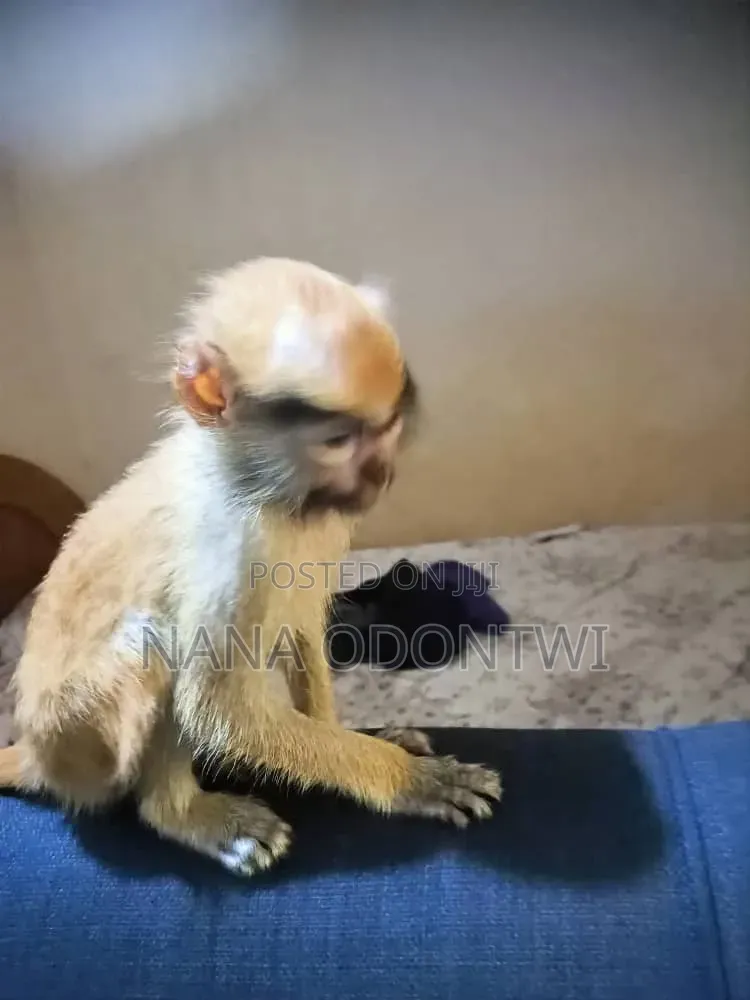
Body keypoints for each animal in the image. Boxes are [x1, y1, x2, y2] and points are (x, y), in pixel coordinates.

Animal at [0, 257, 501, 877]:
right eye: (339, 441)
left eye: (389, 429)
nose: (380, 474)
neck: (260, 484)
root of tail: (37, 754)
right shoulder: (233, 546)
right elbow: (222, 708)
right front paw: (411, 781)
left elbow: (303, 621)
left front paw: (349, 733)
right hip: (79, 745)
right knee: (152, 640)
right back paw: (177, 812)